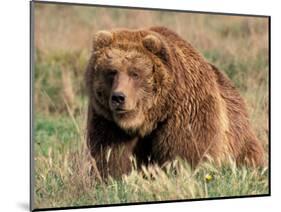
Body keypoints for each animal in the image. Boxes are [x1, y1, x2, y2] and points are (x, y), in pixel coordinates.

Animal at [84, 26, 264, 179]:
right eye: (112, 72)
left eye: (135, 73)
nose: (118, 97)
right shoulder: (107, 122)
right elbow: (111, 156)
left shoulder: (186, 111)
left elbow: (187, 153)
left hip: (239, 137)